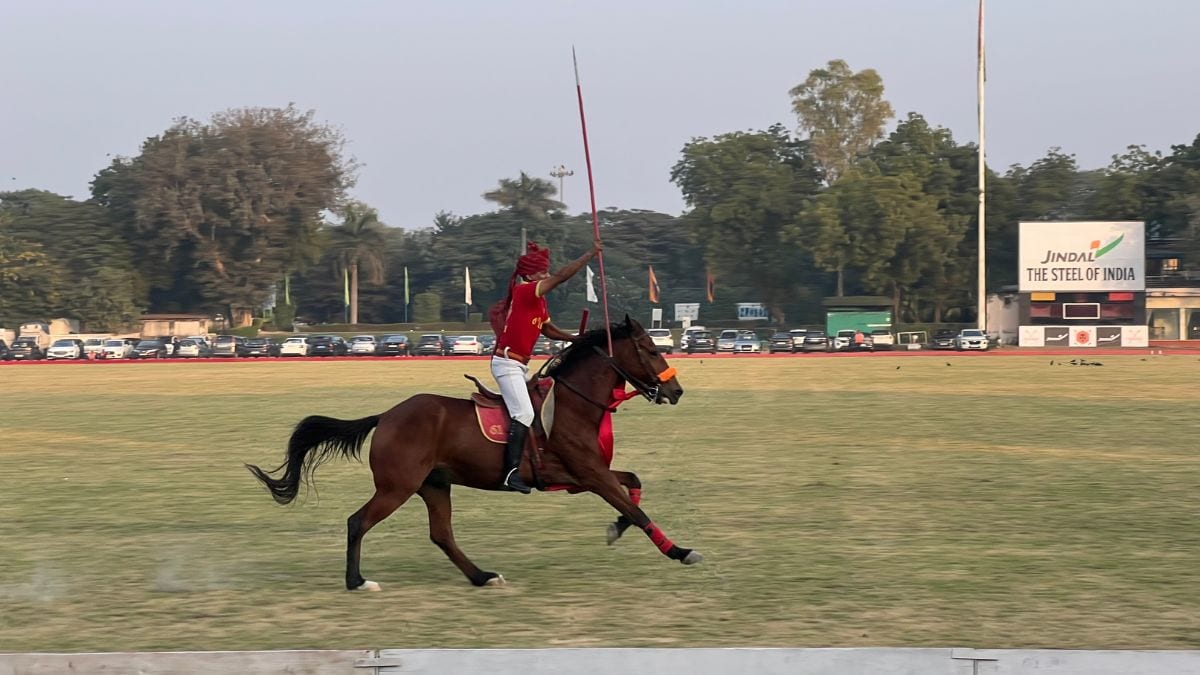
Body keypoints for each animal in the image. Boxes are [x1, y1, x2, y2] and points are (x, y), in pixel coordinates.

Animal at [247, 314, 700, 588]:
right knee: (358, 521)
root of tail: (386, 416)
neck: (573, 402)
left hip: (434, 484)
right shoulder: (589, 474)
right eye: (652, 349)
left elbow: (632, 488)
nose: (676, 391)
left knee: (441, 534)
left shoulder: (584, 474)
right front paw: (680, 551)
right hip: (397, 486)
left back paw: (482, 576)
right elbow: (637, 510)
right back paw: (358, 581)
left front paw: (616, 528)